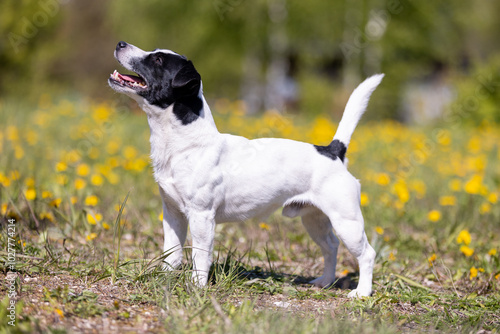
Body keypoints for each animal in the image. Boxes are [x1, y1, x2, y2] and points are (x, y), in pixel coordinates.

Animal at [109, 41, 382, 298]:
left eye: (157, 60)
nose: (120, 43)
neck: (185, 143)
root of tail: (333, 151)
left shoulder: (201, 216)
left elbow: (200, 256)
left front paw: (197, 286)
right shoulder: (172, 213)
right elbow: (171, 251)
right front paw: (165, 277)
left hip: (347, 222)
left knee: (367, 254)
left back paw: (362, 292)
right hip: (314, 220)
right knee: (330, 246)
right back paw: (325, 281)